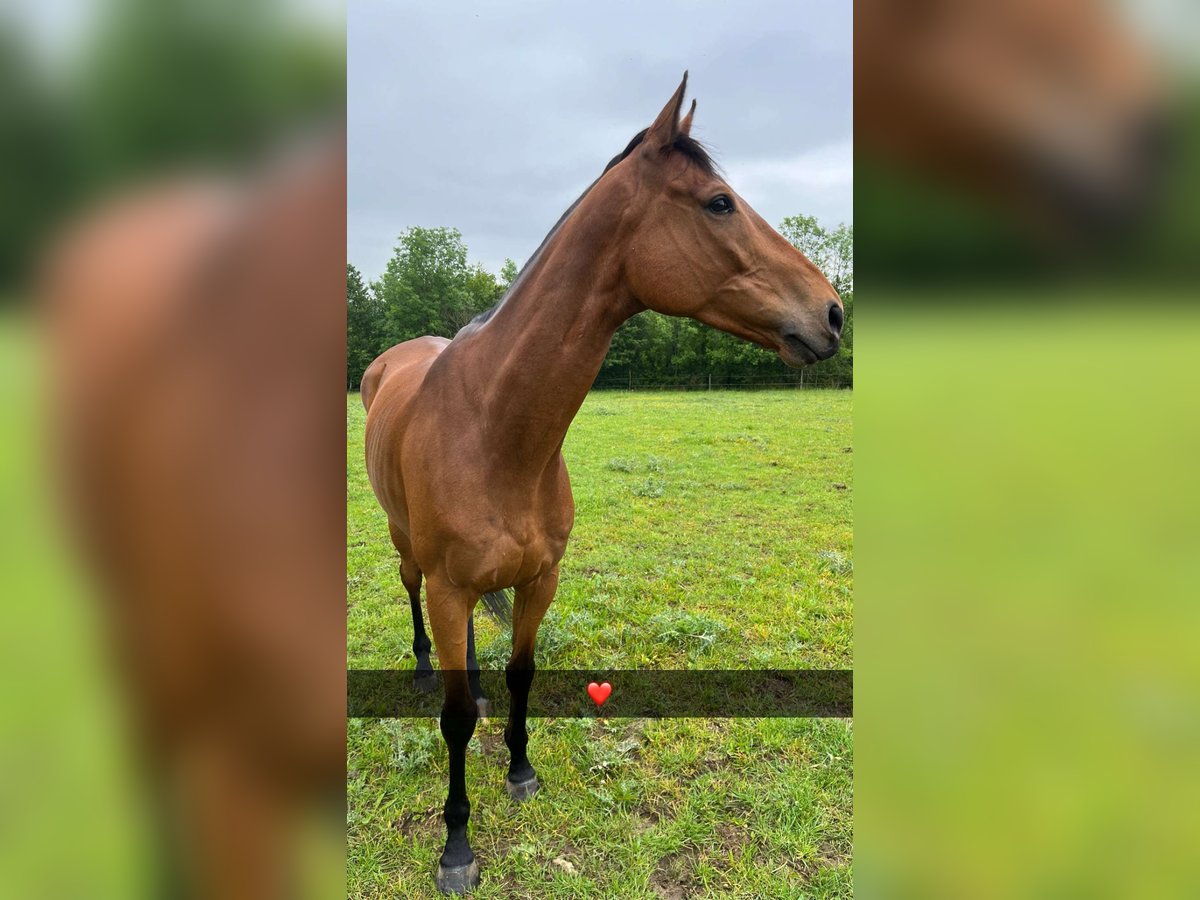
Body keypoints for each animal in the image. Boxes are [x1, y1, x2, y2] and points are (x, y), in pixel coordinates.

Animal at [360, 75, 840, 897]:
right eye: (719, 202)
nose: (833, 312)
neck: (494, 432)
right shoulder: (455, 587)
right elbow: (453, 723)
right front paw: (456, 847)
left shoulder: (540, 580)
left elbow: (521, 676)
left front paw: (520, 770)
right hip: (405, 547)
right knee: (413, 593)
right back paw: (425, 668)